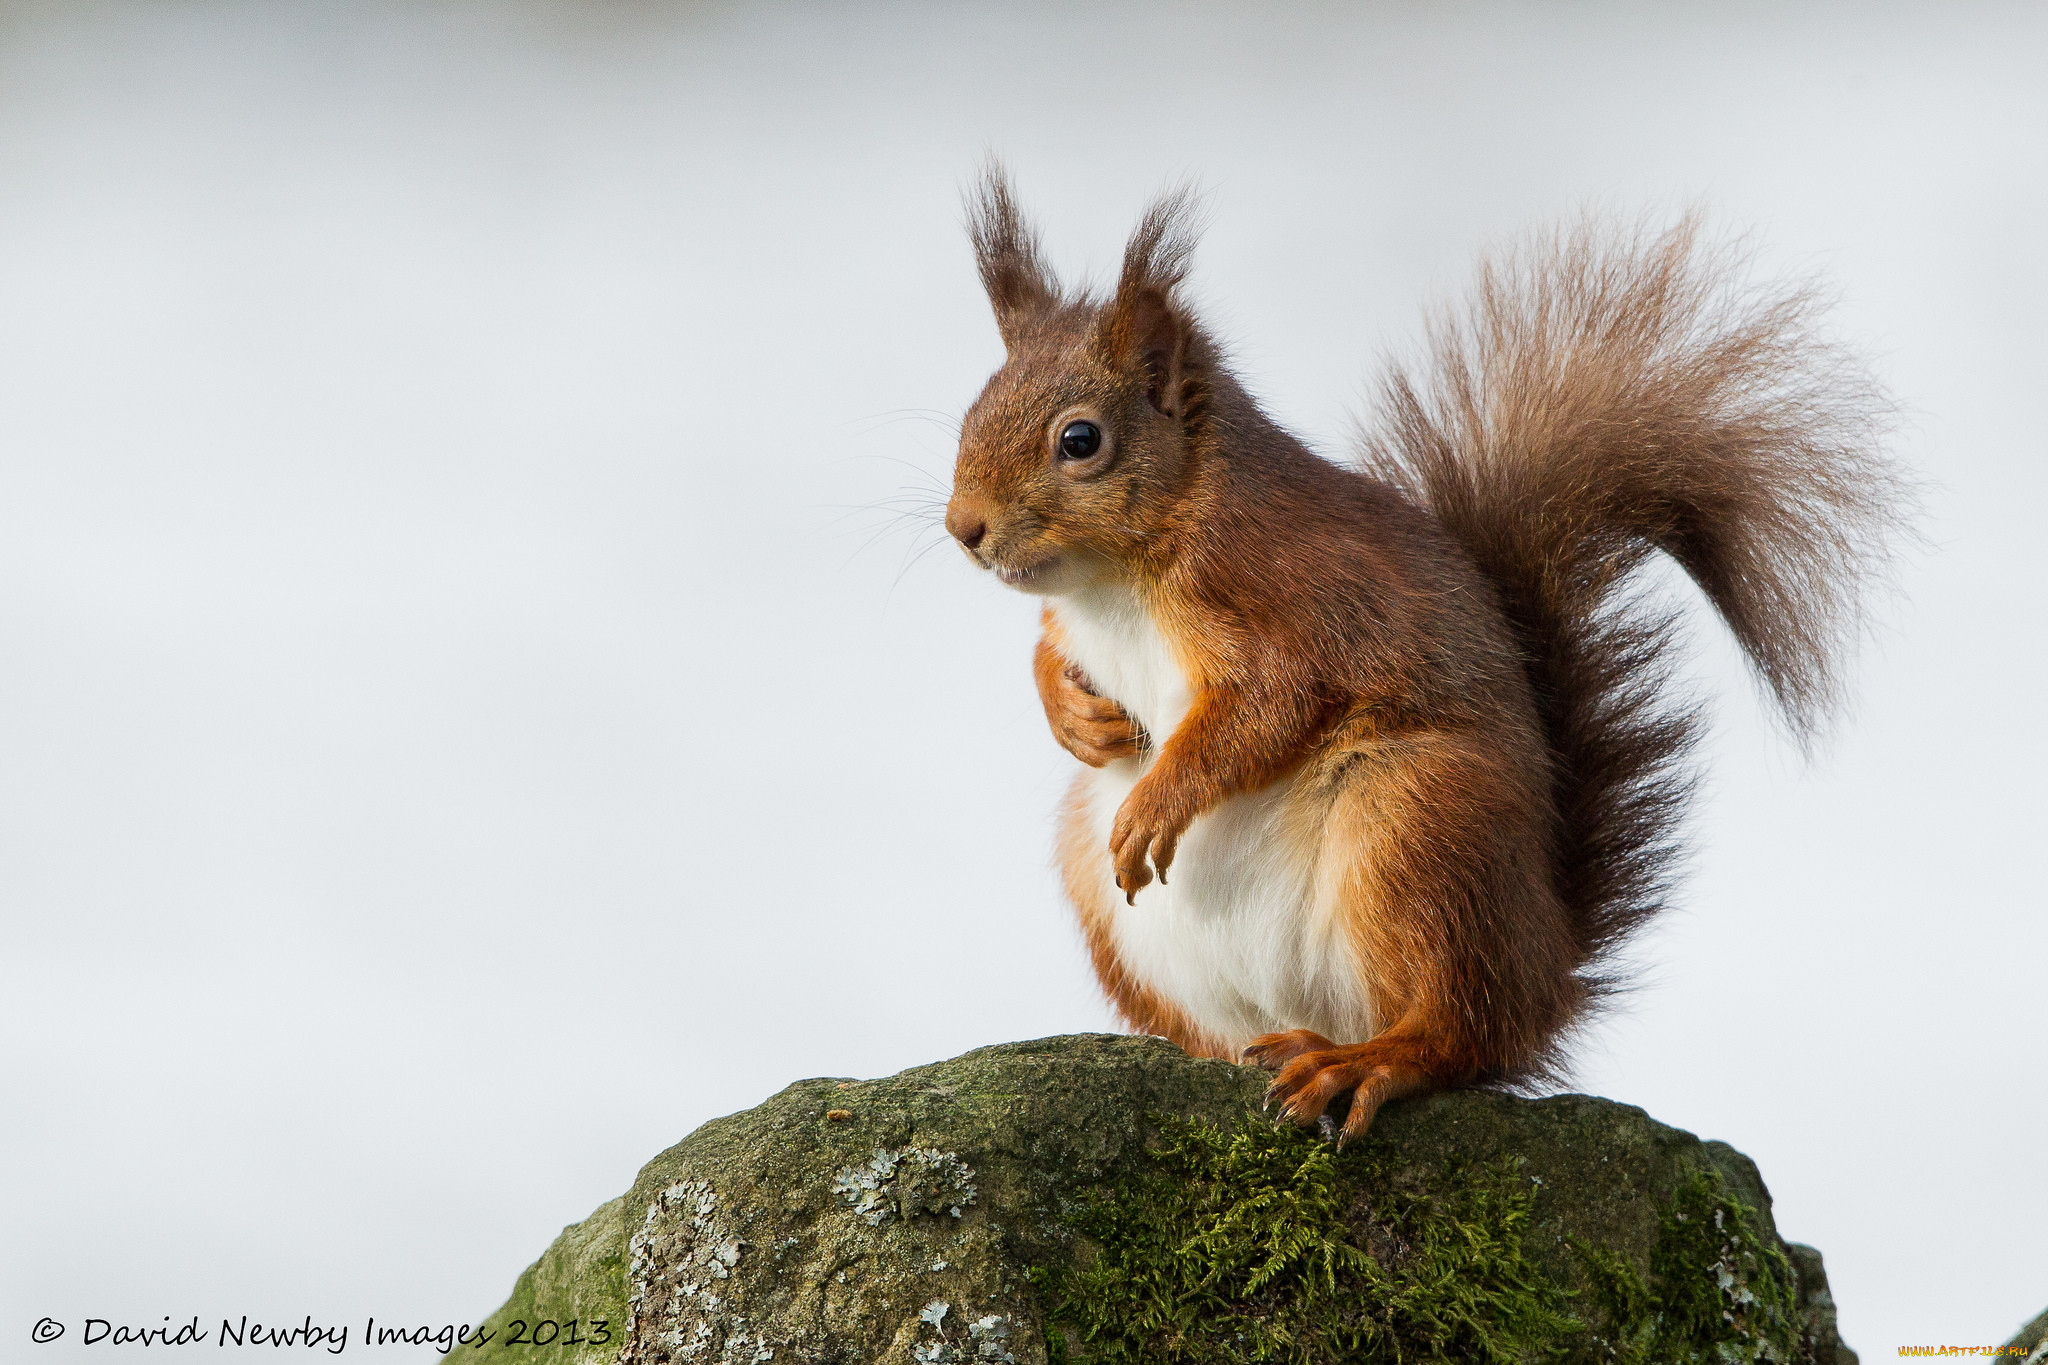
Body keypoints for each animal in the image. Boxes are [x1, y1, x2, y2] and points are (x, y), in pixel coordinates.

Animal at [942, 162, 1900, 1146]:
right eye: (972, 409)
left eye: (1080, 440)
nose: (961, 528)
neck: (1115, 579)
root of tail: (1549, 969)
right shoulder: (1081, 623)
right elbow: (1049, 653)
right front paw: (1074, 715)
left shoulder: (1283, 598)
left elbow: (1269, 706)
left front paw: (1158, 801)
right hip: (1111, 886)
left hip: (1415, 821)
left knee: (1460, 1033)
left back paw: (1368, 1060)